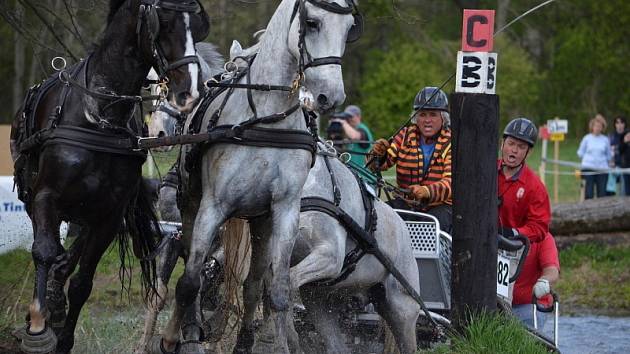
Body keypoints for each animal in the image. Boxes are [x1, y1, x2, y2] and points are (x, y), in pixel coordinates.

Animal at [8, 1, 210, 352]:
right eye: (163, 21)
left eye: (197, 26)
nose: (189, 92)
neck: (100, 116)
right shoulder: (47, 196)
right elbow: (43, 250)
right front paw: (37, 327)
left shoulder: (109, 216)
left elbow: (82, 282)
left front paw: (63, 337)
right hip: (38, 200)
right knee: (49, 249)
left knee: (68, 259)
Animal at [158, 1, 360, 352]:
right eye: (312, 22)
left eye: (349, 29)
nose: (330, 97)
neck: (266, 116)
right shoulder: (214, 206)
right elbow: (190, 280)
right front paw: (172, 338)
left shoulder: (285, 210)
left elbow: (277, 290)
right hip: (193, 206)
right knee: (192, 270)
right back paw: (190, 329)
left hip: (260, 222)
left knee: (253, 283)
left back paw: (243, 340)